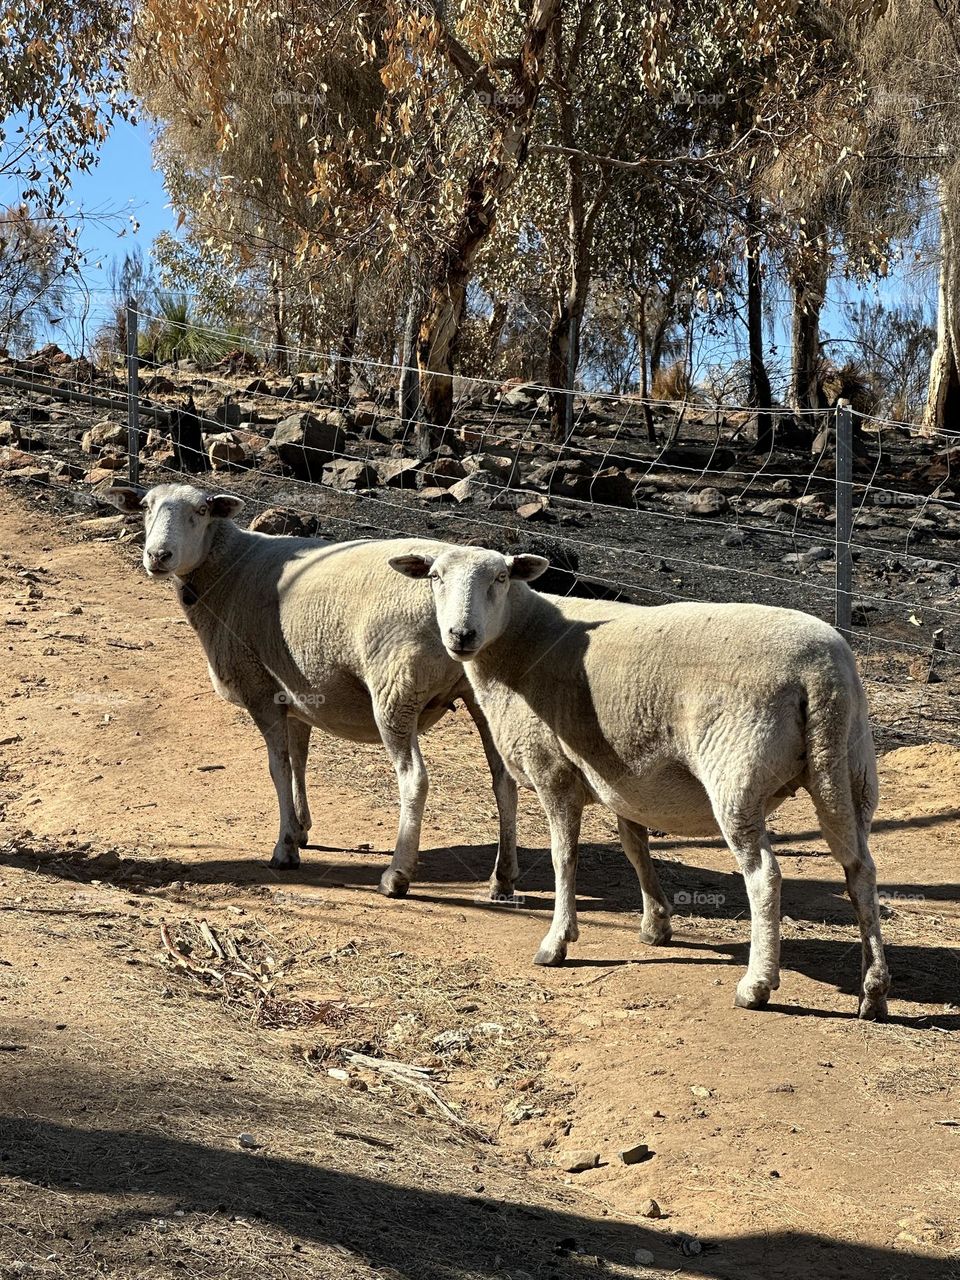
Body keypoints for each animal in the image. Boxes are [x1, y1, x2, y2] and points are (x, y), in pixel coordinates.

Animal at [104, 483, 518, 896]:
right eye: (146, 507)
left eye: (202, 511)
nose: (158, 556)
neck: (229, 569)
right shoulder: (296, 691)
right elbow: (299, 760)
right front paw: (301, 827)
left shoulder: (260, 688)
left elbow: (278, 766)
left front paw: (285, 847)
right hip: (484, 694)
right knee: (505, 781)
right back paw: (503, 877)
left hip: (395, 691)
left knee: (414, 779)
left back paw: (397, 875)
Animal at [390, 544, 891, 1020]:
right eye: (435, 577)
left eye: (499, 577)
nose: (461, 636)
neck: (523, 645)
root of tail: (822, 672)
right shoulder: (622, 775)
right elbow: (634, 845)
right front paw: (656, 925)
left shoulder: (553, 769)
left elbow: (563, 858)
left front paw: (558, 940)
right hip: (850, 771)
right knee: (861, 871)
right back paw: (874, 990)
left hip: (738, 776)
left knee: (764, 876)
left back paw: (757, 985)